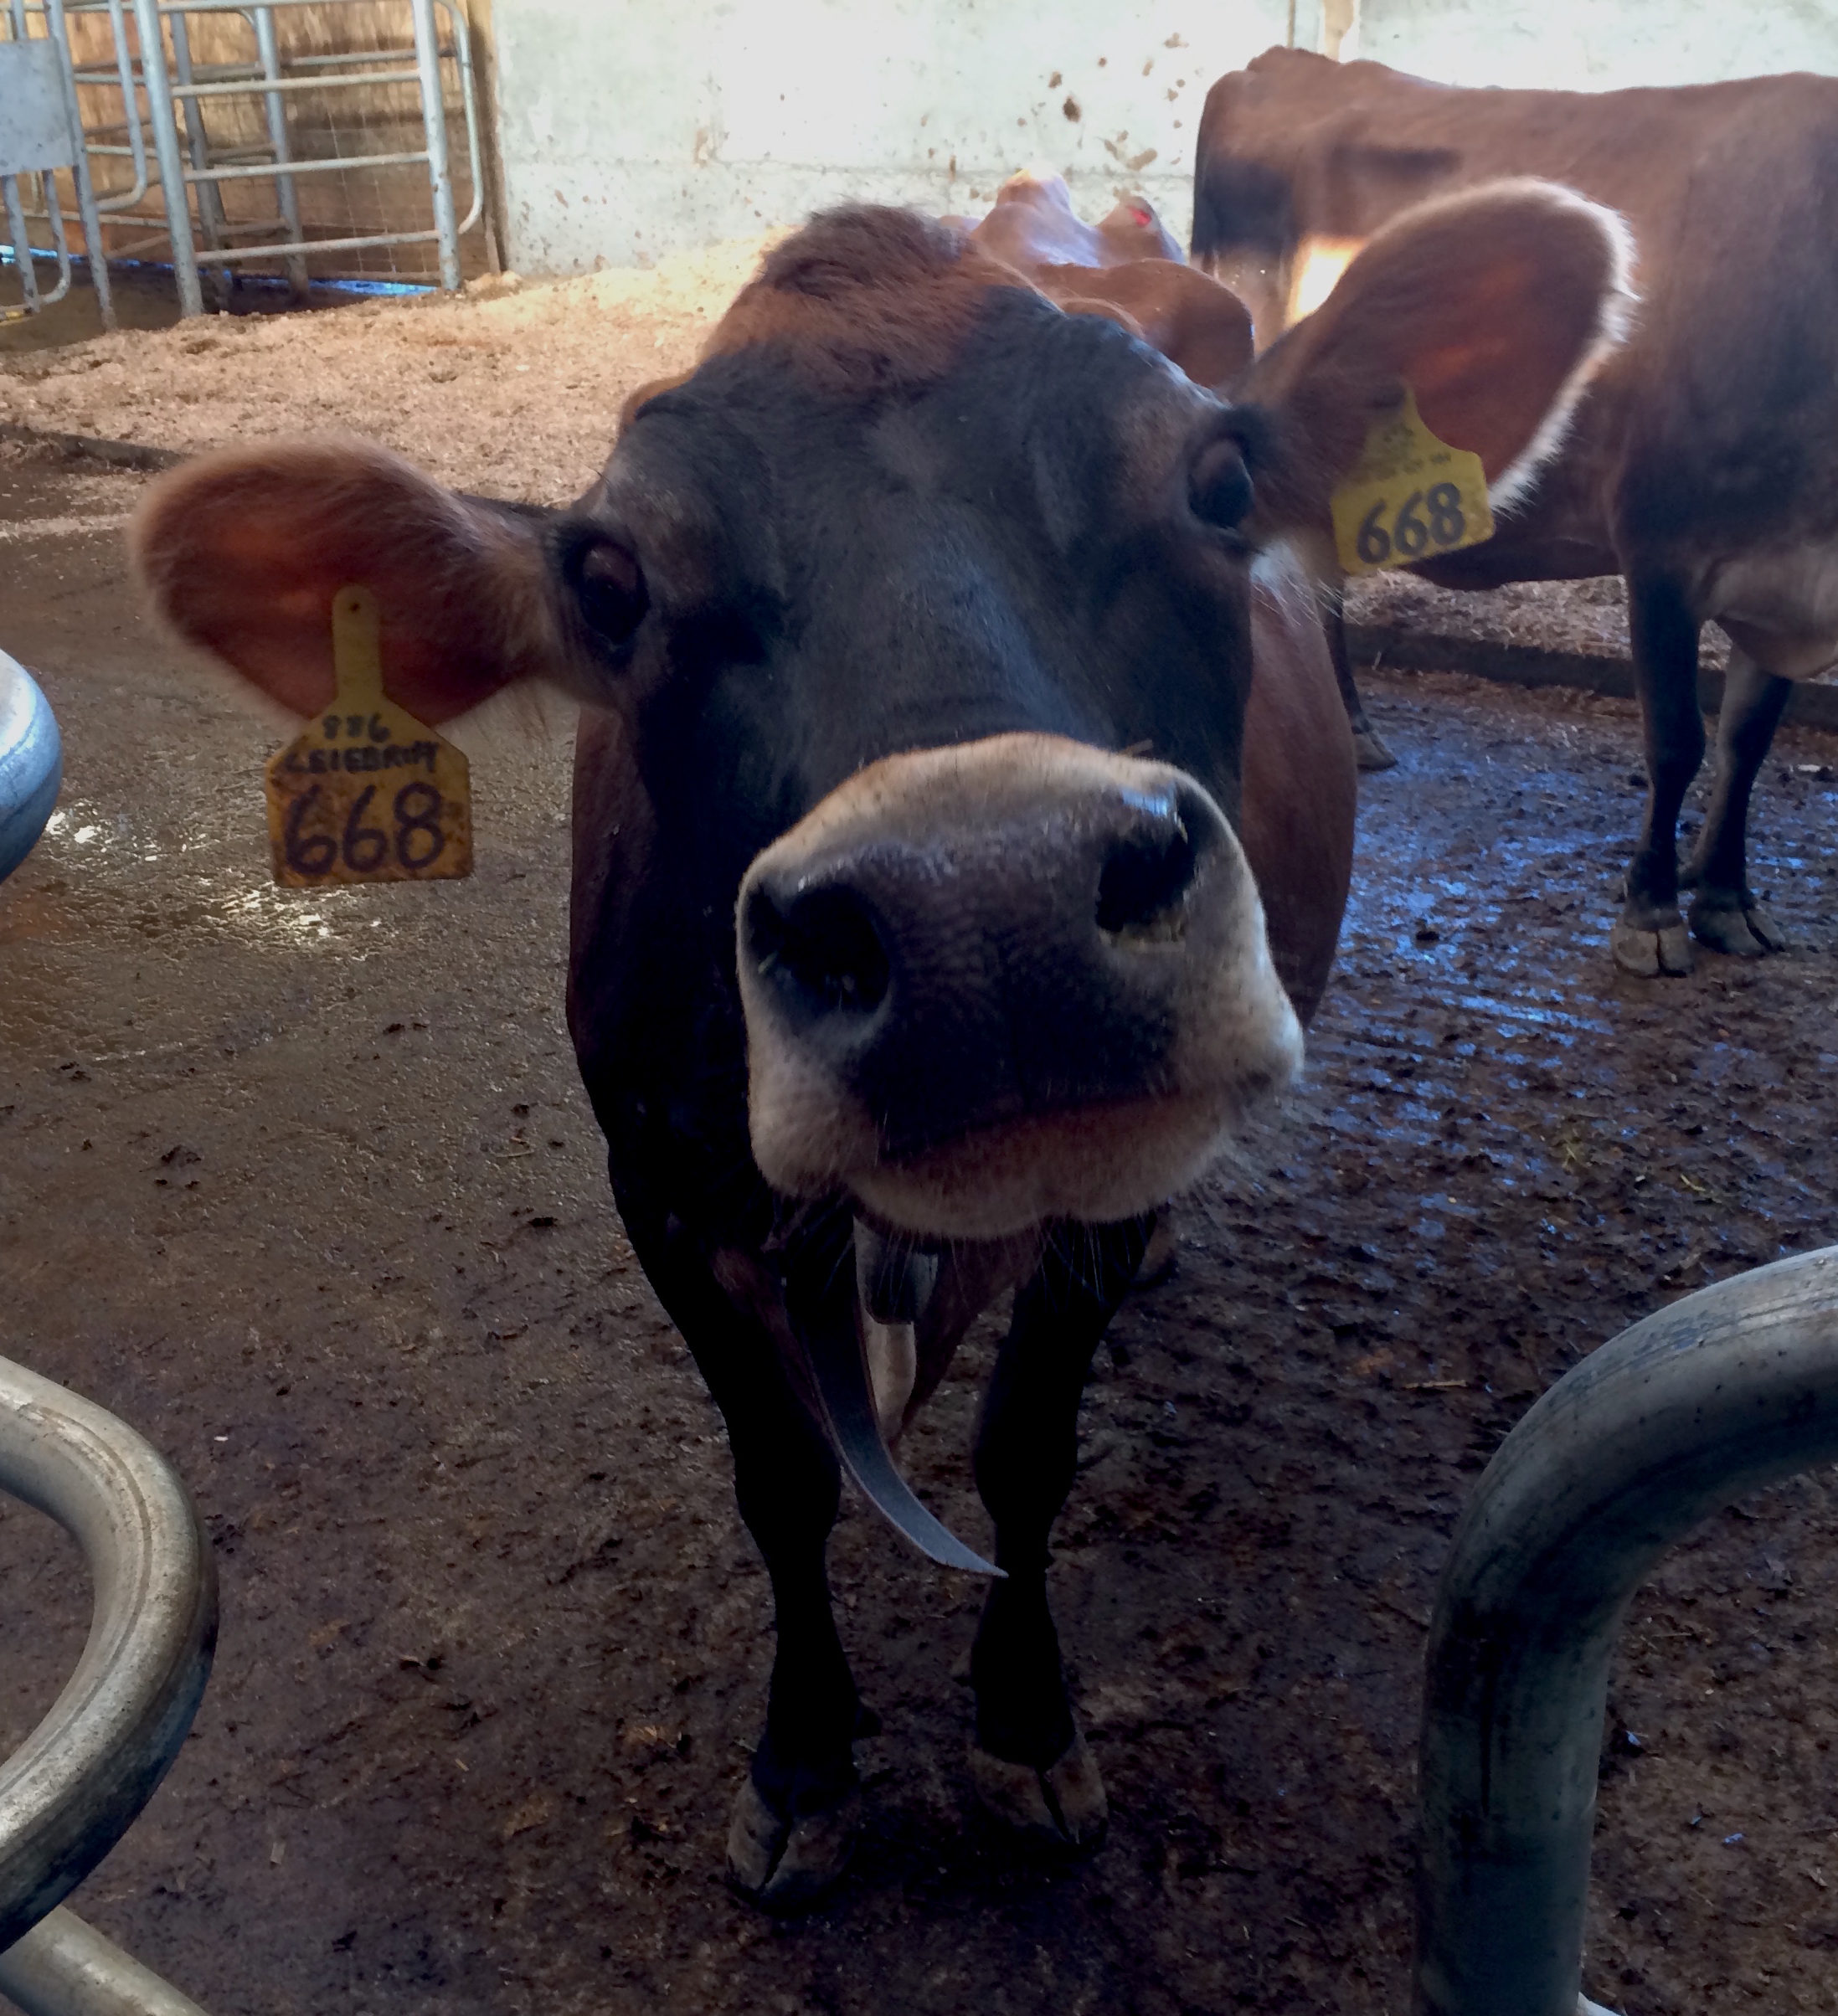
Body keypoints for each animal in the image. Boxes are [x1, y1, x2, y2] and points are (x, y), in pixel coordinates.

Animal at [132, 185, 1626, 1909]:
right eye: (609, 579)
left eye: (1218, 481)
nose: (992, 923)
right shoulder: (659, 1182)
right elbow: (779, 1478)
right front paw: (801, 1761)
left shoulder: (1098, 1191)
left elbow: (1025, 1449)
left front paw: (1028, 1723)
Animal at [1193, 47, 1838, 971]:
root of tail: (1284, 61)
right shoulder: (1659, 547)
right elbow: (1675, 739)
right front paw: (1651, 910)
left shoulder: (1781, 577)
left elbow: (1745, 744)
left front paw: (1724, 896)